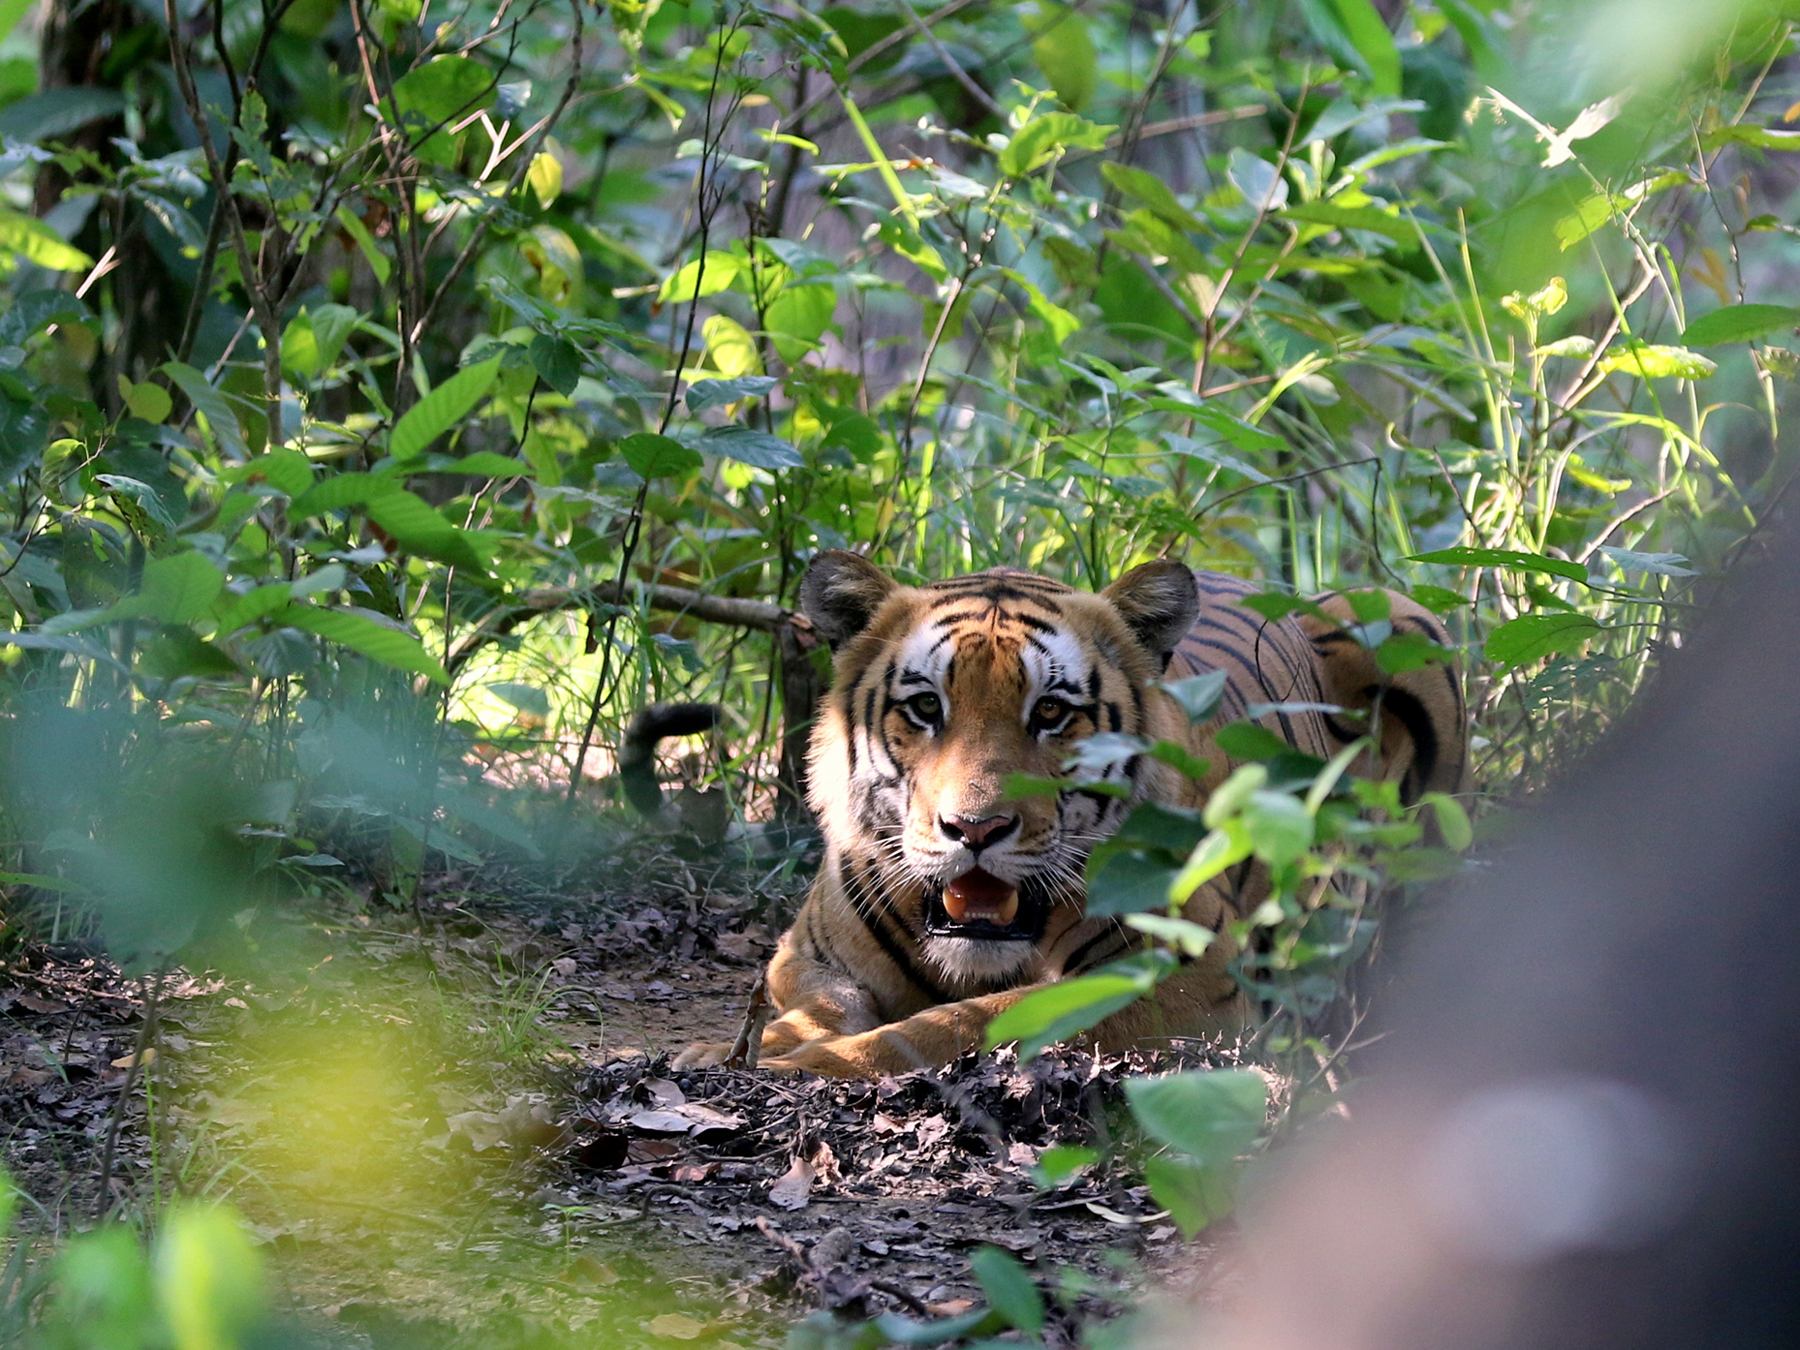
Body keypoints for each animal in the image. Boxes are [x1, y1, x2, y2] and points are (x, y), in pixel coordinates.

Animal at [676, 550, 1461, 1080]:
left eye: (1051, 713)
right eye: (926, 706)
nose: (976, 830)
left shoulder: (1184, 977)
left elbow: (958, 1024)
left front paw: (796, 1065)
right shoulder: (803, 954)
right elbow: (822, 1002)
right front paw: (727, 1049)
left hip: (1401, 618)